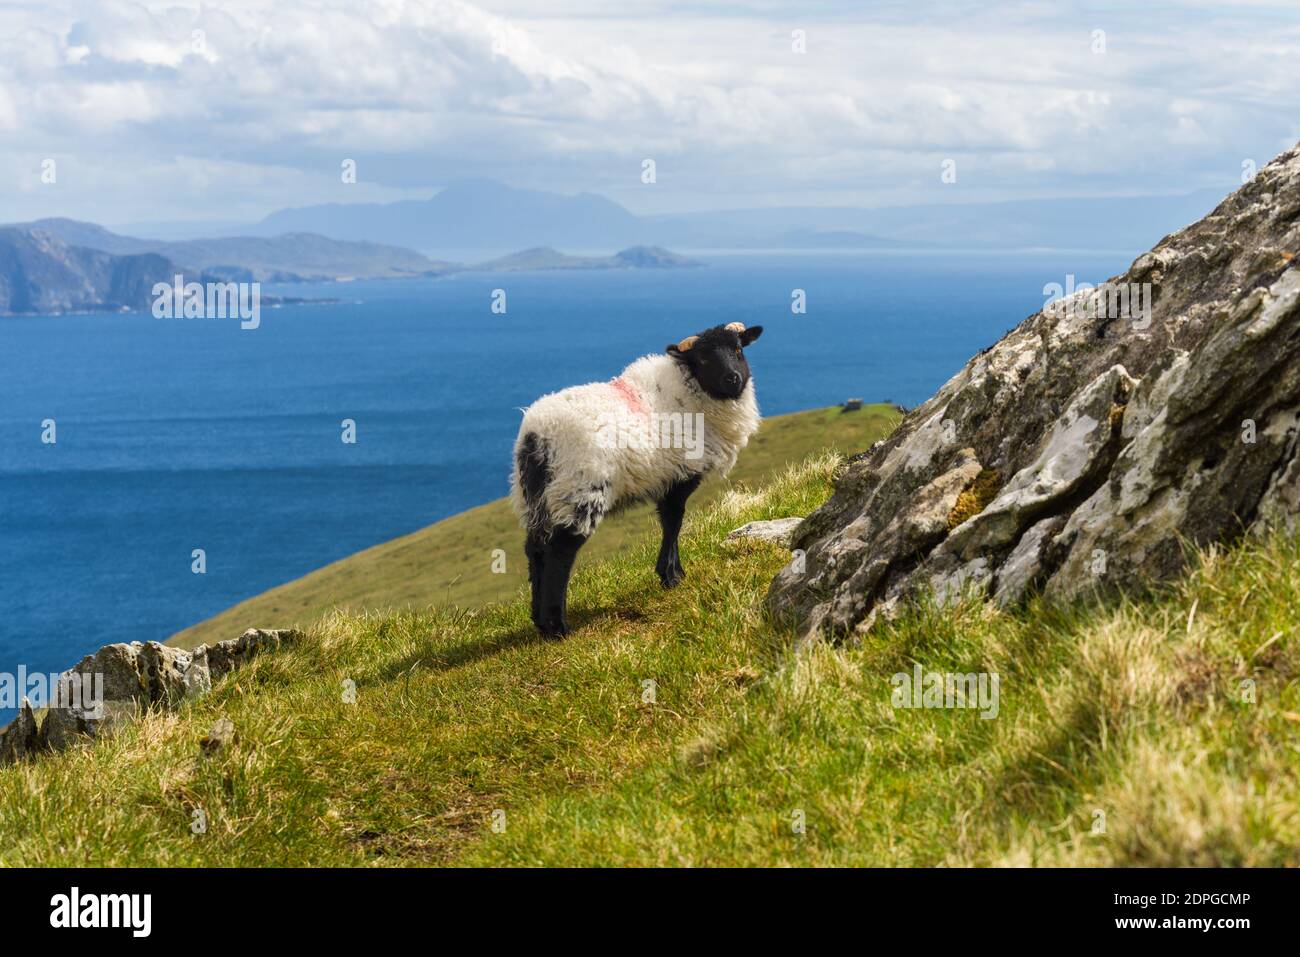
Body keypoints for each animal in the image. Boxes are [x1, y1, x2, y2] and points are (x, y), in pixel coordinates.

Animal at [512, 321, 764, 634]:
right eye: (703, 358)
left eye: (738, 349)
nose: (733, 379)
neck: (691, 392)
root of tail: (537, 437)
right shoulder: (679, 475)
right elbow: (673, 522)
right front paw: (670, 576)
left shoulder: (668, 477)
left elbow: (671, 524)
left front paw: (675, 572)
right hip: (578, 491)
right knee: (559, 553)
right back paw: (558, 626)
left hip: (536, 499)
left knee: (535, 550)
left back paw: (539, 621)